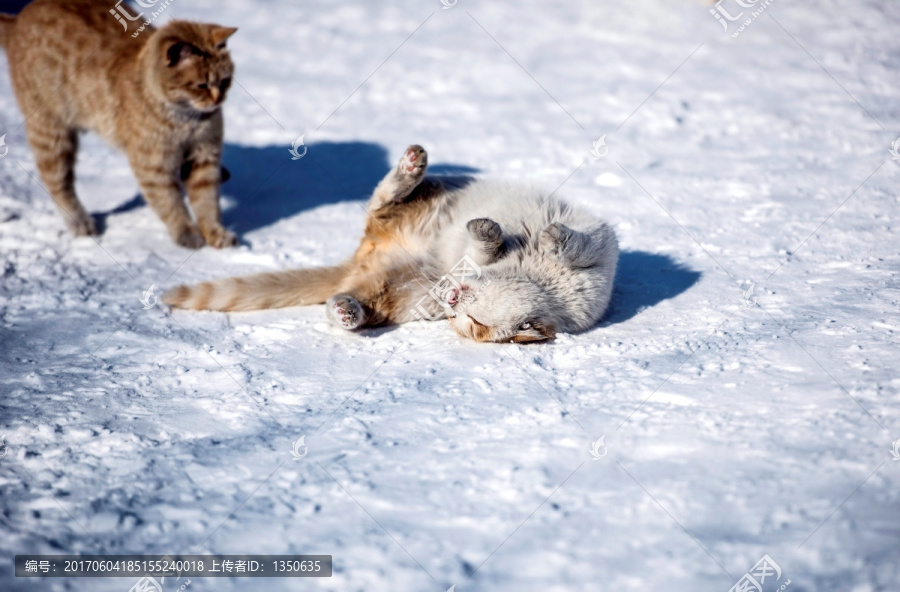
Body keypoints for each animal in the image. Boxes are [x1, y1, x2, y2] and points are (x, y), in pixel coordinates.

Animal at [0, 0, 239, 246]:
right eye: (201, 86)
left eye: (225, 81)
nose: (218, 99)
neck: (187, 119)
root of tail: (17, 19)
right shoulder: (153, 167)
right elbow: (170, 203)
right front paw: (187, 233)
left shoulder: (204, 157)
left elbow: (207, 203)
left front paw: (215, 233)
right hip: (52, 135)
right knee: (58, 183)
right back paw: (80, 222)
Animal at [165, 144, 620, 344]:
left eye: (469, 324)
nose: (451, 301)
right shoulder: (600, 241)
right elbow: (574, 243)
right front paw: (541, 236)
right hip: (425, 201)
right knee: (384, 199)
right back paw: (411, 165)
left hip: (398, 293)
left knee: (351, 303)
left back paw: (348, 312)